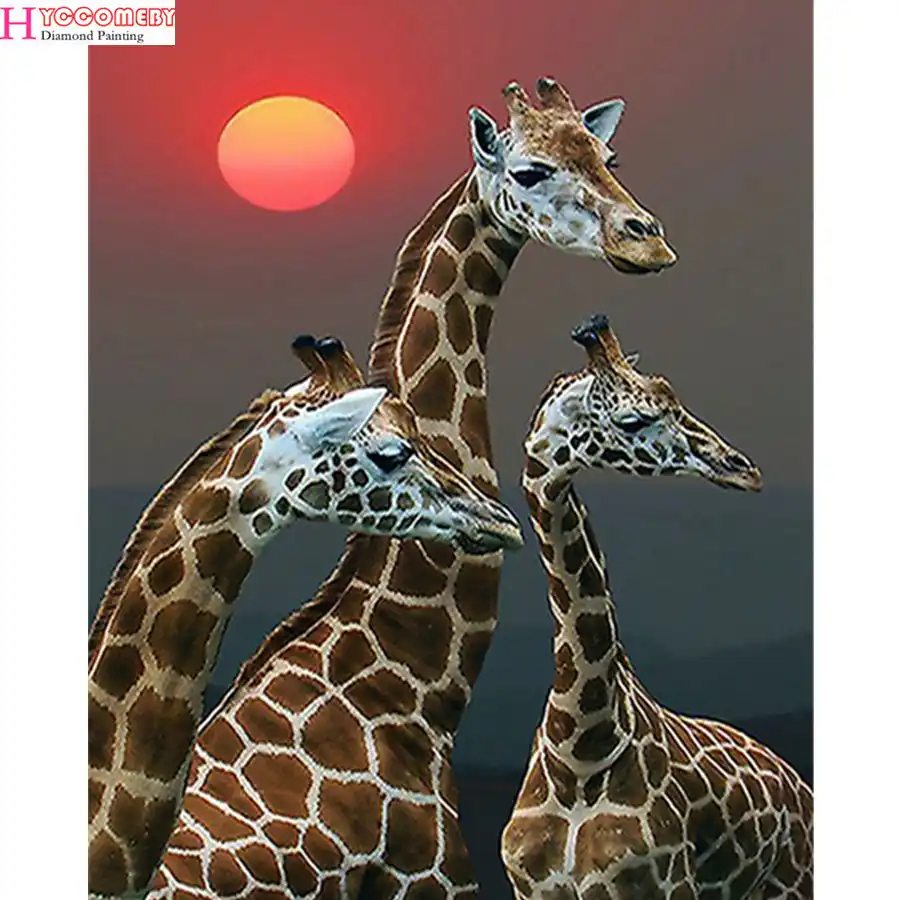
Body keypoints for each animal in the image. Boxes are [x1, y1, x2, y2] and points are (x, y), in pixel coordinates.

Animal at [502, 314, 813, 900]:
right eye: (633, 419)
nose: (744, 469)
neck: (581, 746)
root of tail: (799, 785)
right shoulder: (530, 888)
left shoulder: (663, 883)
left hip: (793, 881)